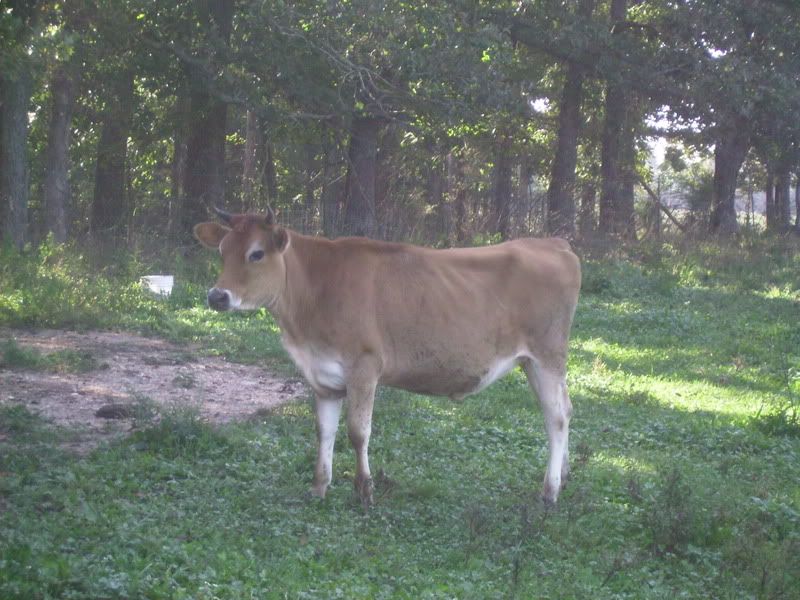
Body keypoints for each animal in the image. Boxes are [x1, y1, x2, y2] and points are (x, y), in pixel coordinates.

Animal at [194, 207, 581, 507]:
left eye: (256, 253)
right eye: (222, 251)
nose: (217, 296)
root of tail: (552, 242)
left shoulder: (364, 365)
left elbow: (357, 431)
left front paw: (364, 490)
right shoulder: (322, 376)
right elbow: (324, 431)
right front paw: (319, 486)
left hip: (547, 355)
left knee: (556, 417)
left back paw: (549, 492)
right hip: (533, 362)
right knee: (566, 408)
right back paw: (564, 476)